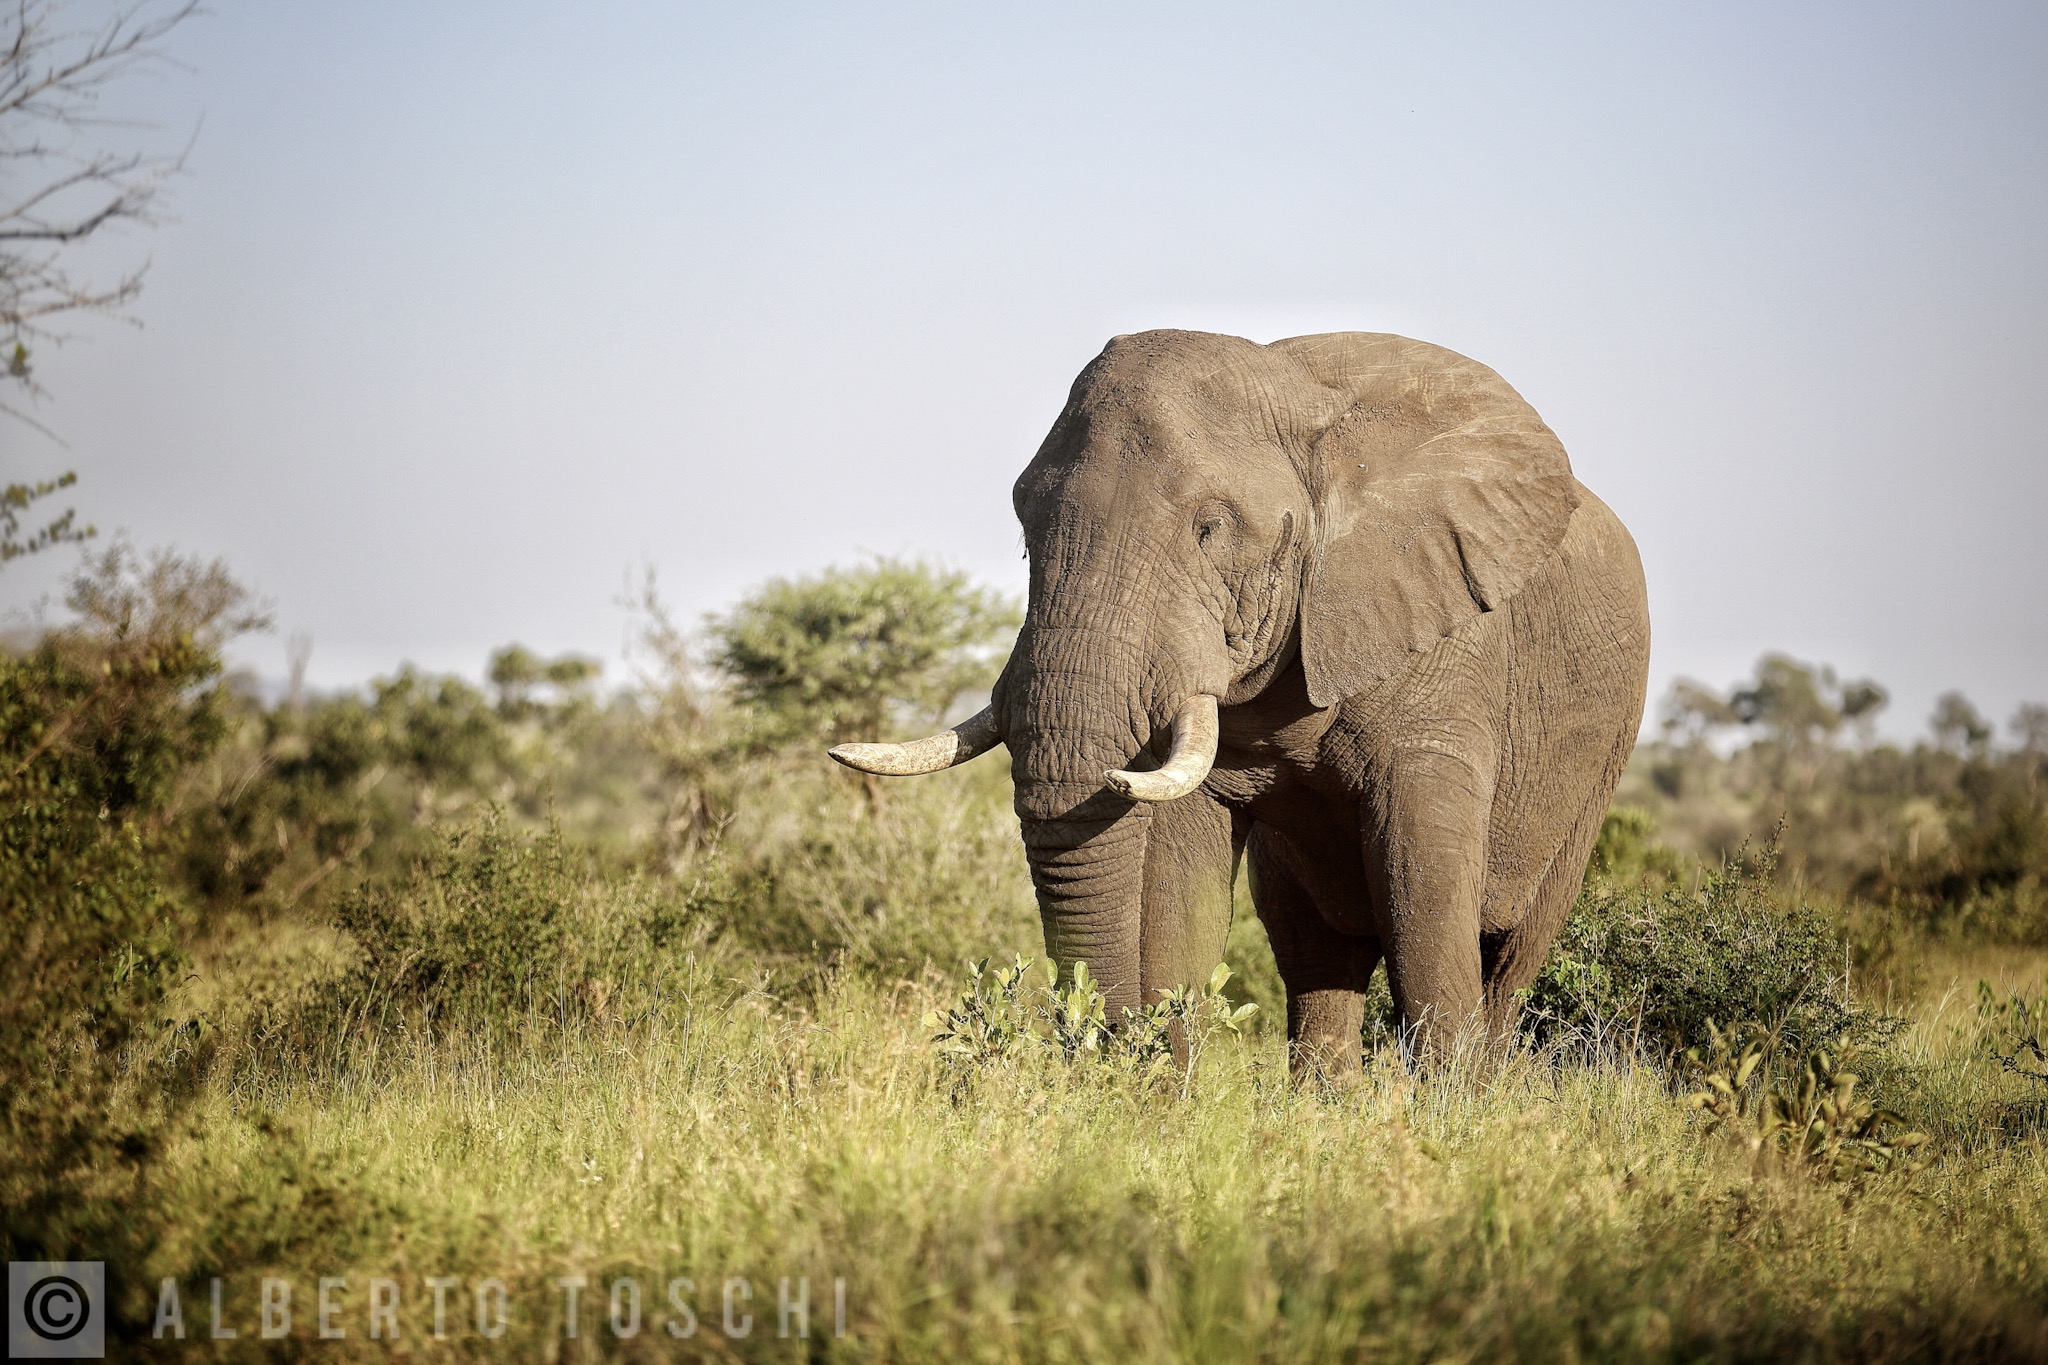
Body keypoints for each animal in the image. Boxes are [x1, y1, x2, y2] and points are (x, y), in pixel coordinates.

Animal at [831, 329, 1649, 1075]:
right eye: (1026, 535)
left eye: (1211, 529)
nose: (1106, 1053)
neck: (1291, 392)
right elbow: (1178, 887)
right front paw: (1163, 1107)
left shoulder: (1448, 651)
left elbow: (1426, 890)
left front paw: (1453, 1118)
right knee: (1316, 953)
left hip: (1600, 767)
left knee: (1509, 958)